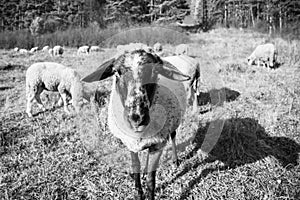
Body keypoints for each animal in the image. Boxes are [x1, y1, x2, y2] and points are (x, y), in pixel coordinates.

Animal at [81, 48, 190, 200]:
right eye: (117, 72)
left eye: (155, 71)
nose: (137, 118)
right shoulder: (130, 144)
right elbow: (136, 167)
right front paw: (139, 192)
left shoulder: (158, 144)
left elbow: (151, 180)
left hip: (173, 123)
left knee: (173, 137)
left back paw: (175, 161)